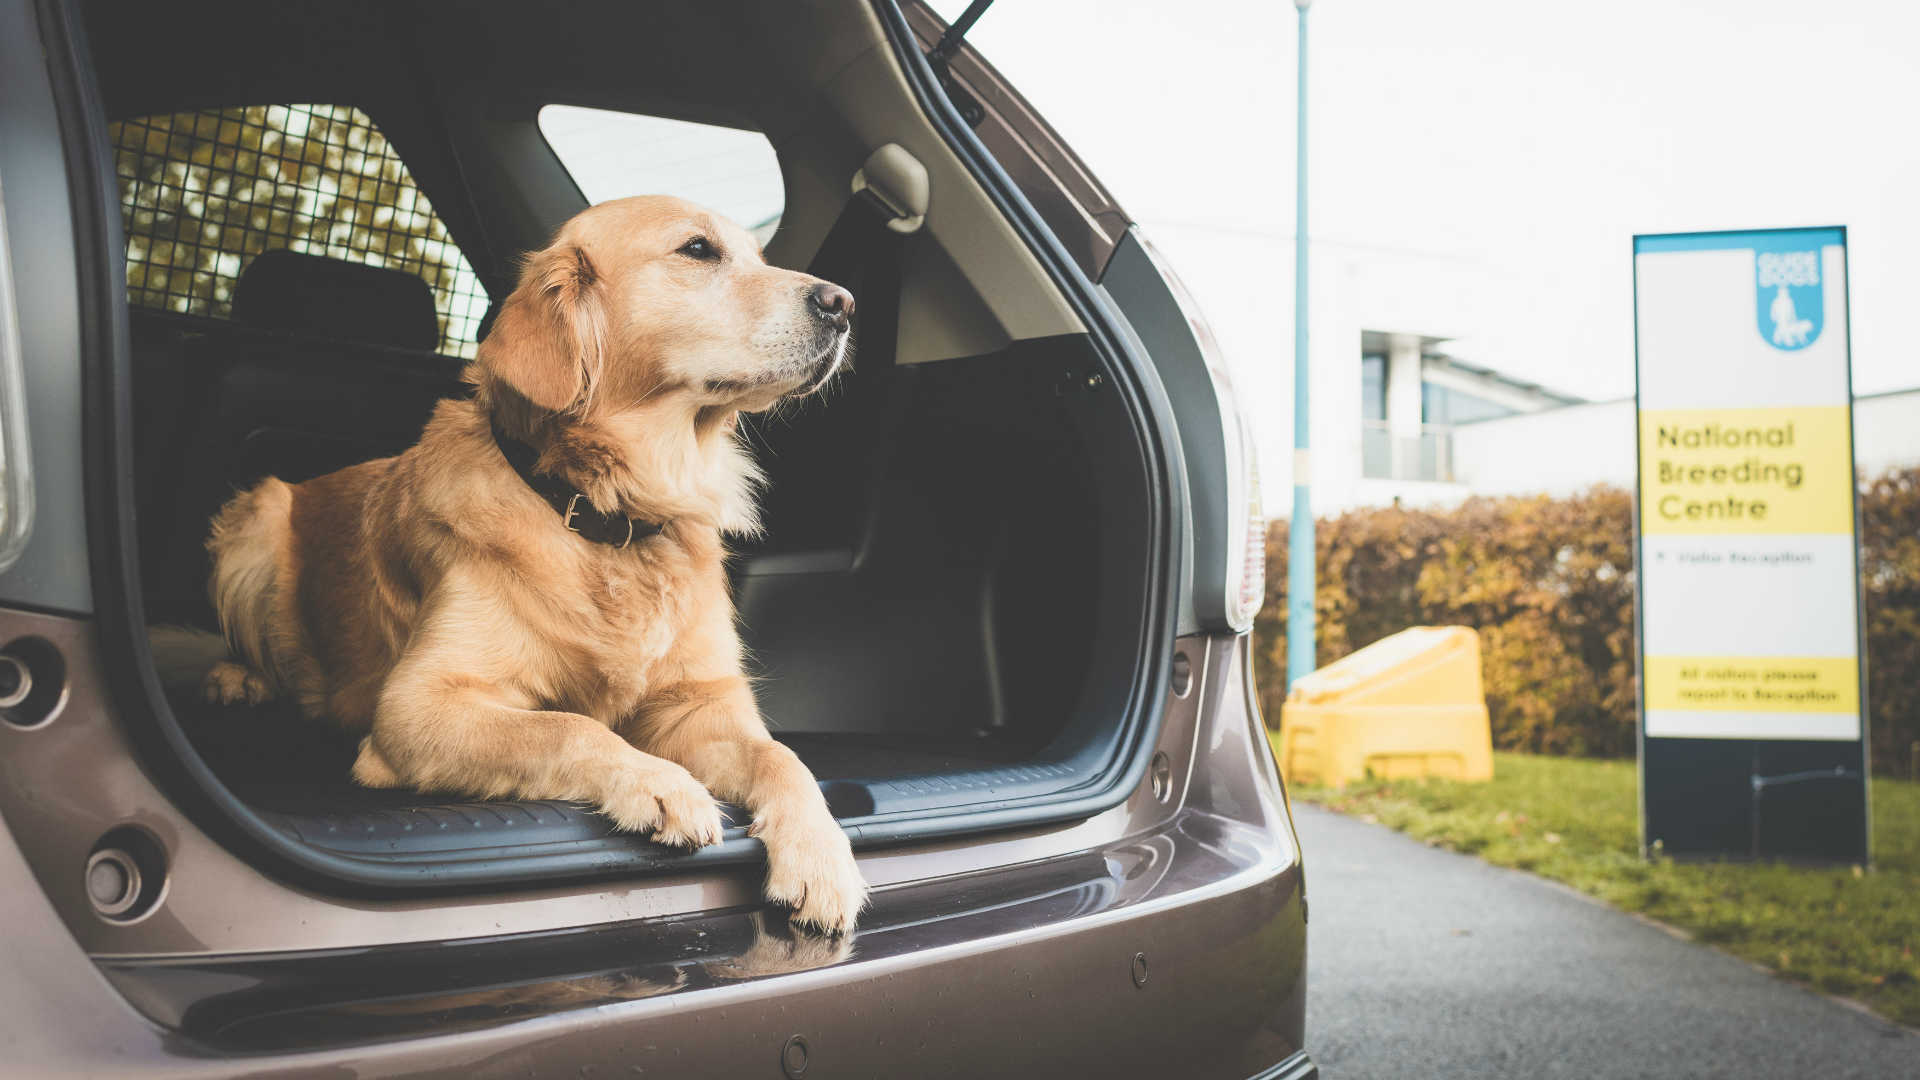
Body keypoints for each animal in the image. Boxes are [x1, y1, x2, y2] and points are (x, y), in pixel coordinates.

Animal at [196, 197, 871, 930]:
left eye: (757, 255)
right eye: (697, 249)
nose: (843, 302)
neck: (608, 513)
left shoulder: (699, 706)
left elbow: (783, 757)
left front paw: (822, 855)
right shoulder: (417, 706)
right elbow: (567, 726)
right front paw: (661, 783)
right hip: (258, 519)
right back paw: (239, 679)